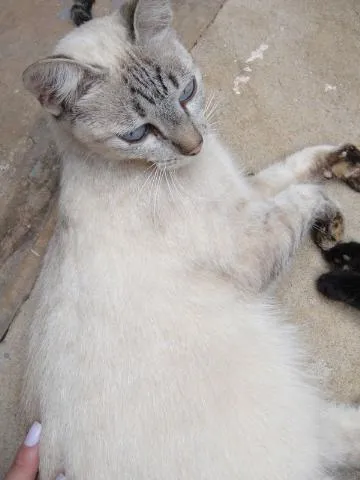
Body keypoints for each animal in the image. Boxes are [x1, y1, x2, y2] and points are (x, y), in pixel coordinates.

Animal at [21, 1, 360, 478]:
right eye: (137, 133)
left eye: (187, 92)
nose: (195, 145)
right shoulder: (248, 243)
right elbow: (305, 195)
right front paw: (331, 224)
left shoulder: (244, 195)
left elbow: (293, 169)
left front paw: (338, 163)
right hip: (291, 410)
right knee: (339, 438)